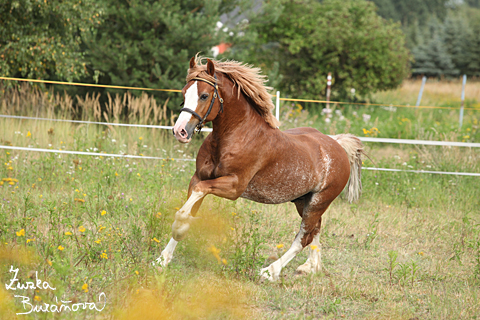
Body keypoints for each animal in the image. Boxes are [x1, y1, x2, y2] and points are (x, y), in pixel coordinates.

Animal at [157, 56, 364, 282]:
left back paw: (270, 271)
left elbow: (193, 200)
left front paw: (177, 229)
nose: (180, 131)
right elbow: (191, 205)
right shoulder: (198, 177)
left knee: (304, 237)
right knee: (315, 230)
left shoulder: (234, 187)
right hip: (303, 201)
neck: (237, 135)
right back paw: (310, 267)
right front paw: (162, 259)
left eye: (204, 95)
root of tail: (338, 145)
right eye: (184, 93)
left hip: (318, 202)